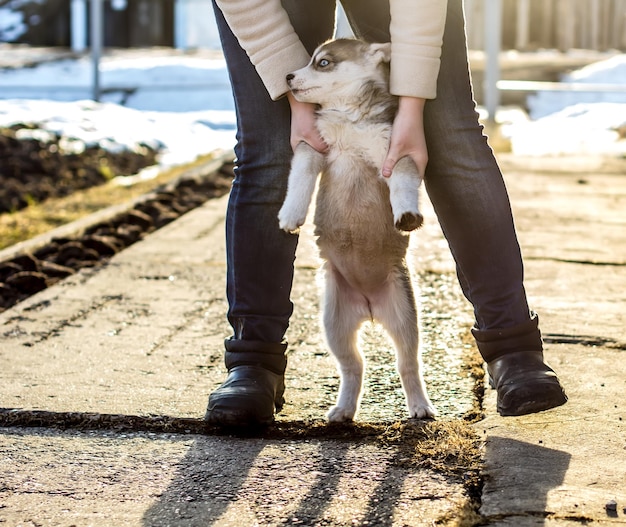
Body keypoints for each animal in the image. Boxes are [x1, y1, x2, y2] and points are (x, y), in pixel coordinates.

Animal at [278, 39, 434, 422]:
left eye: (322, 63)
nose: (287, 76)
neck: (350, 119)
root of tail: (369, 305)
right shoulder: (312, 149)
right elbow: (299, 180)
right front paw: (291, 214)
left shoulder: (395, 154)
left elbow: (402, 185)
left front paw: (407, 213)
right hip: (334, 324)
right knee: (354, 366)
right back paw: (343, 409)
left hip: (405, 317)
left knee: (407, 364)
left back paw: (420, 406)